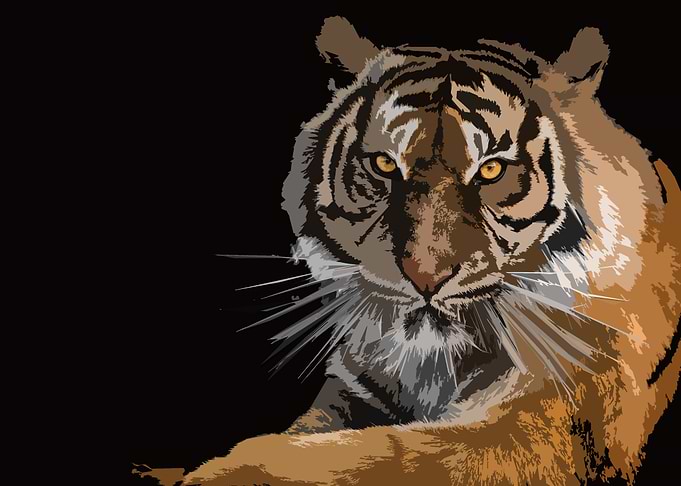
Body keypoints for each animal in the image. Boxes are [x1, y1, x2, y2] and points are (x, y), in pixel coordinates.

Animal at [184, 16, 681, 486]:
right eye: (384, 164)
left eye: (492, 170)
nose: (425, 275)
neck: (431, 366)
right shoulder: (350, 392)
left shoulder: (540, 421)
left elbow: (385, 457)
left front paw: (220, 471)